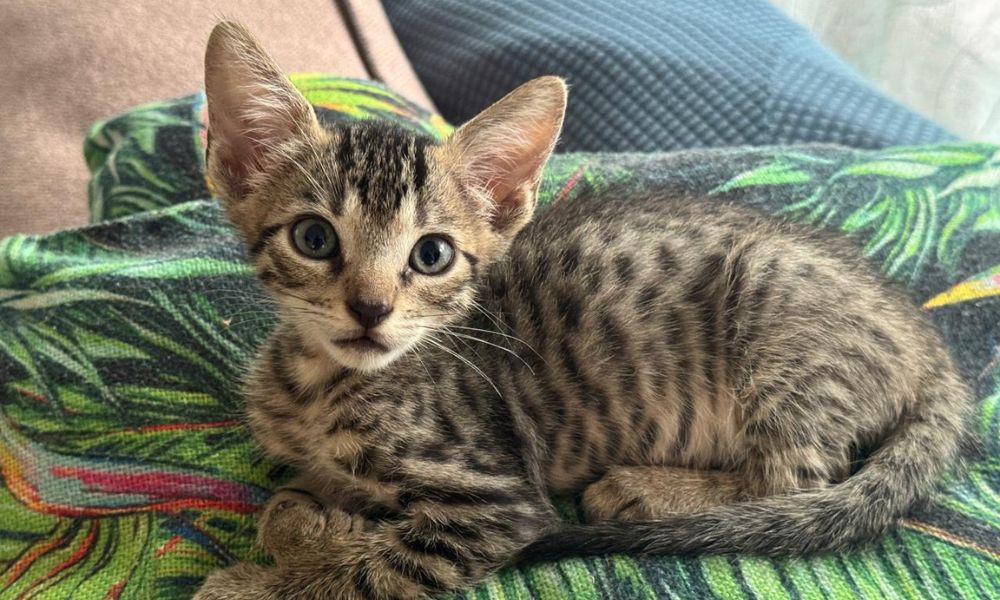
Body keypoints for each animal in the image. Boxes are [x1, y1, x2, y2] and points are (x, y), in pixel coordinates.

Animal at [195, 21, 972, 600]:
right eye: (315, 238)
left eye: (431, 255)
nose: (371, 309)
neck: (319, 383)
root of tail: (930, 342)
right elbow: (290, 501)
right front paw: (309, 521)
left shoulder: (498, 503)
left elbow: (377, 571)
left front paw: (269, 576)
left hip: (778, 330)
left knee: (788, 486)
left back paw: (644, 489)